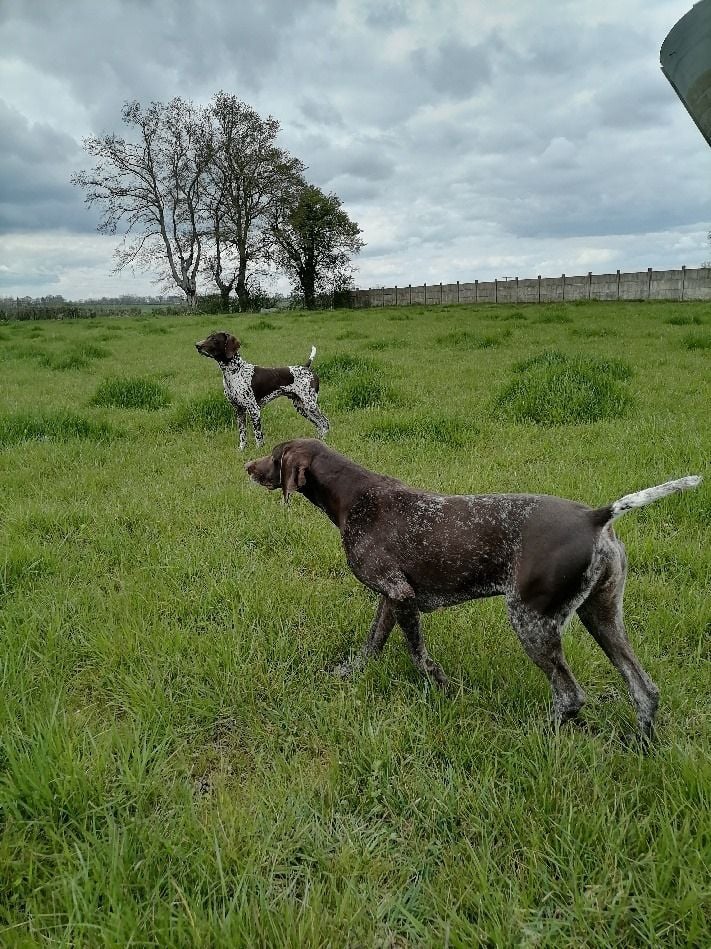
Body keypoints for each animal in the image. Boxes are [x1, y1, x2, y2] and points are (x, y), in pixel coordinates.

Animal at [195, 332, 328, 450]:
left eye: (214, 339)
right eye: (208, 337)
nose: (197, 345)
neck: (234, 372)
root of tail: (306, 367)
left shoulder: (254, 410)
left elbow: (258, 435)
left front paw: (258, 450)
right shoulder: (239, 410)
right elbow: (242, 434)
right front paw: (241, 450)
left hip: (310, 405)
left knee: (325, 423)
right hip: (301, 407)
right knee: (319, 425)